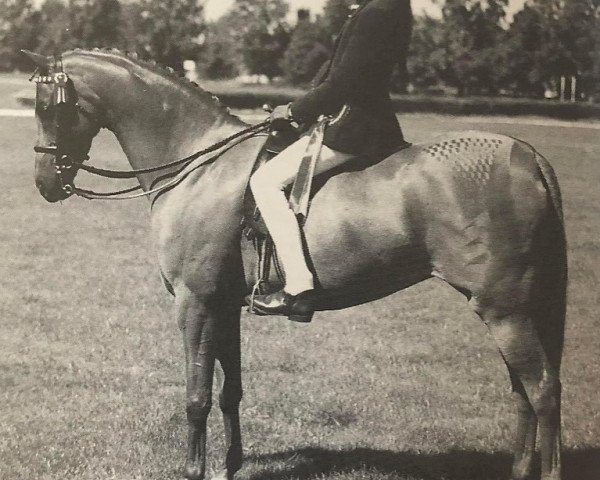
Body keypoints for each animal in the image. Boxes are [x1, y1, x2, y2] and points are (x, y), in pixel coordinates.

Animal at [24, 49, 568, 480]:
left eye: (51, 107)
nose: (45, 183)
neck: (197, 164)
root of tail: (527, 155)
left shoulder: (194, 304)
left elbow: (197, 396)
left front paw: (196, 469)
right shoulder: (224, 306)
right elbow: (230, 391)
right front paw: (230, 465)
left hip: (505, 311)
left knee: (542, 391)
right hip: (510, 310)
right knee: (522, 393)